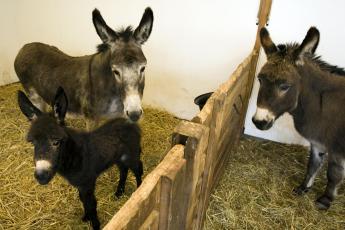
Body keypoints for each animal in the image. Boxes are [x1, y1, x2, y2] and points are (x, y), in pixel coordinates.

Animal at [18, 87, 142, 229]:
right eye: (33, 143)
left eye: (56, 142)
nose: (41, 176)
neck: (74, 155)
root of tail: (130, 123)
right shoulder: (80, 184)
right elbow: (83, 200)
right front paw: (86, 217)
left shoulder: (87, 182)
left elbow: (91, 204)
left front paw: (95, 225)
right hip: (119, 157)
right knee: (124, 171)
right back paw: (119, 193)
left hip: (131, 154)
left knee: (138, 169)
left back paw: (140, 188)